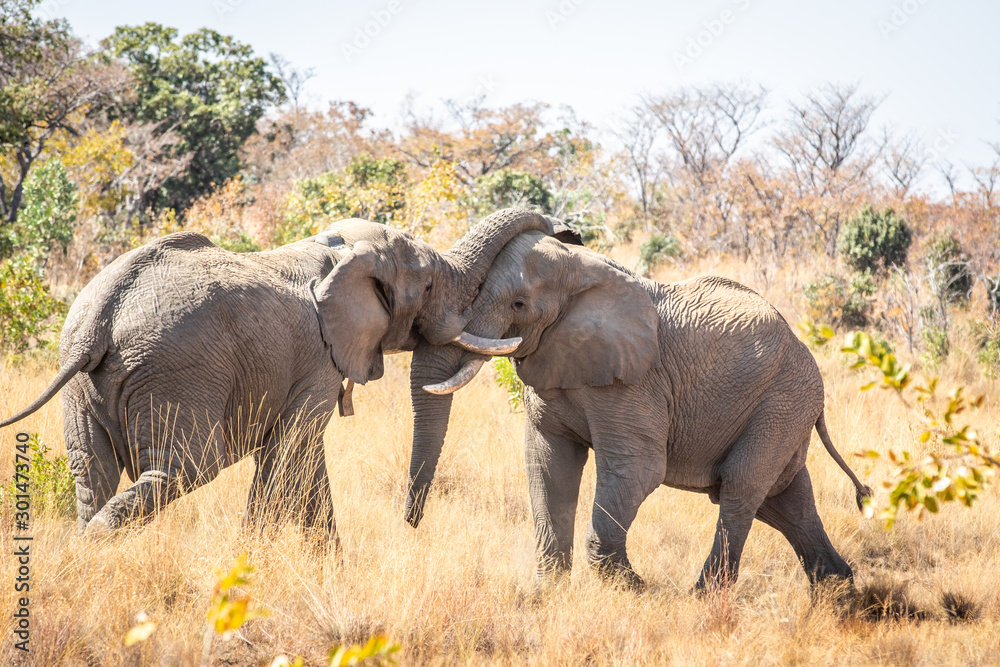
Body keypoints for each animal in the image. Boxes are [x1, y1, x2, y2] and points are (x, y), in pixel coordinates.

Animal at [1, 210, 551, 542]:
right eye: (431, 285)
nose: (559, 225)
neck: (335, 249)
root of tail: (101, 314)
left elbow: (303, 459)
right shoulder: (319, 356)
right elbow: (289, 455)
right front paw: (251, 560)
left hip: (83, 381)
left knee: (89, 469)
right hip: (173, 372)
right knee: (184, 469)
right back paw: (100, 543)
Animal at [405, 212, 872, 590]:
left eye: (518, 304)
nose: (411, 524)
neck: (583, 272)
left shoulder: (636, 382)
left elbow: (639, 467)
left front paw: (635, 589)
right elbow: (547, 460)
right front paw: (547, 592)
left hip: (782, 401)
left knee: (740, 487)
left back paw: (701, 598)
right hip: (782, 407)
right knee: (782, 496)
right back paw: (836, 591)